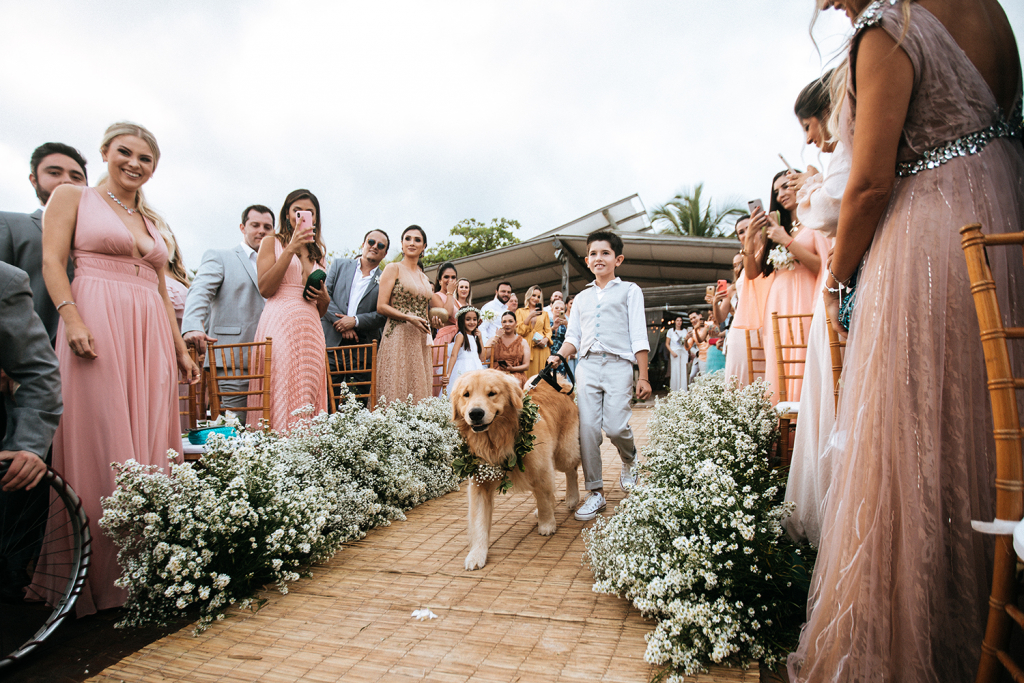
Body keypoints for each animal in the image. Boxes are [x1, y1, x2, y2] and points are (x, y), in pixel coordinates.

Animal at [452, 368, 581, 573]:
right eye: (466, 394)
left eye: (492, 393)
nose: (476, 413)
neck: (498, 441)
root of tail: (560, 385)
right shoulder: (480, 484)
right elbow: (479, 521)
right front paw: (477, 554)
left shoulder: (541, 469)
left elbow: (545, 498)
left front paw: (547, 524)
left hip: (564, 453)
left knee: (572, 470)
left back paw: (571, 497)